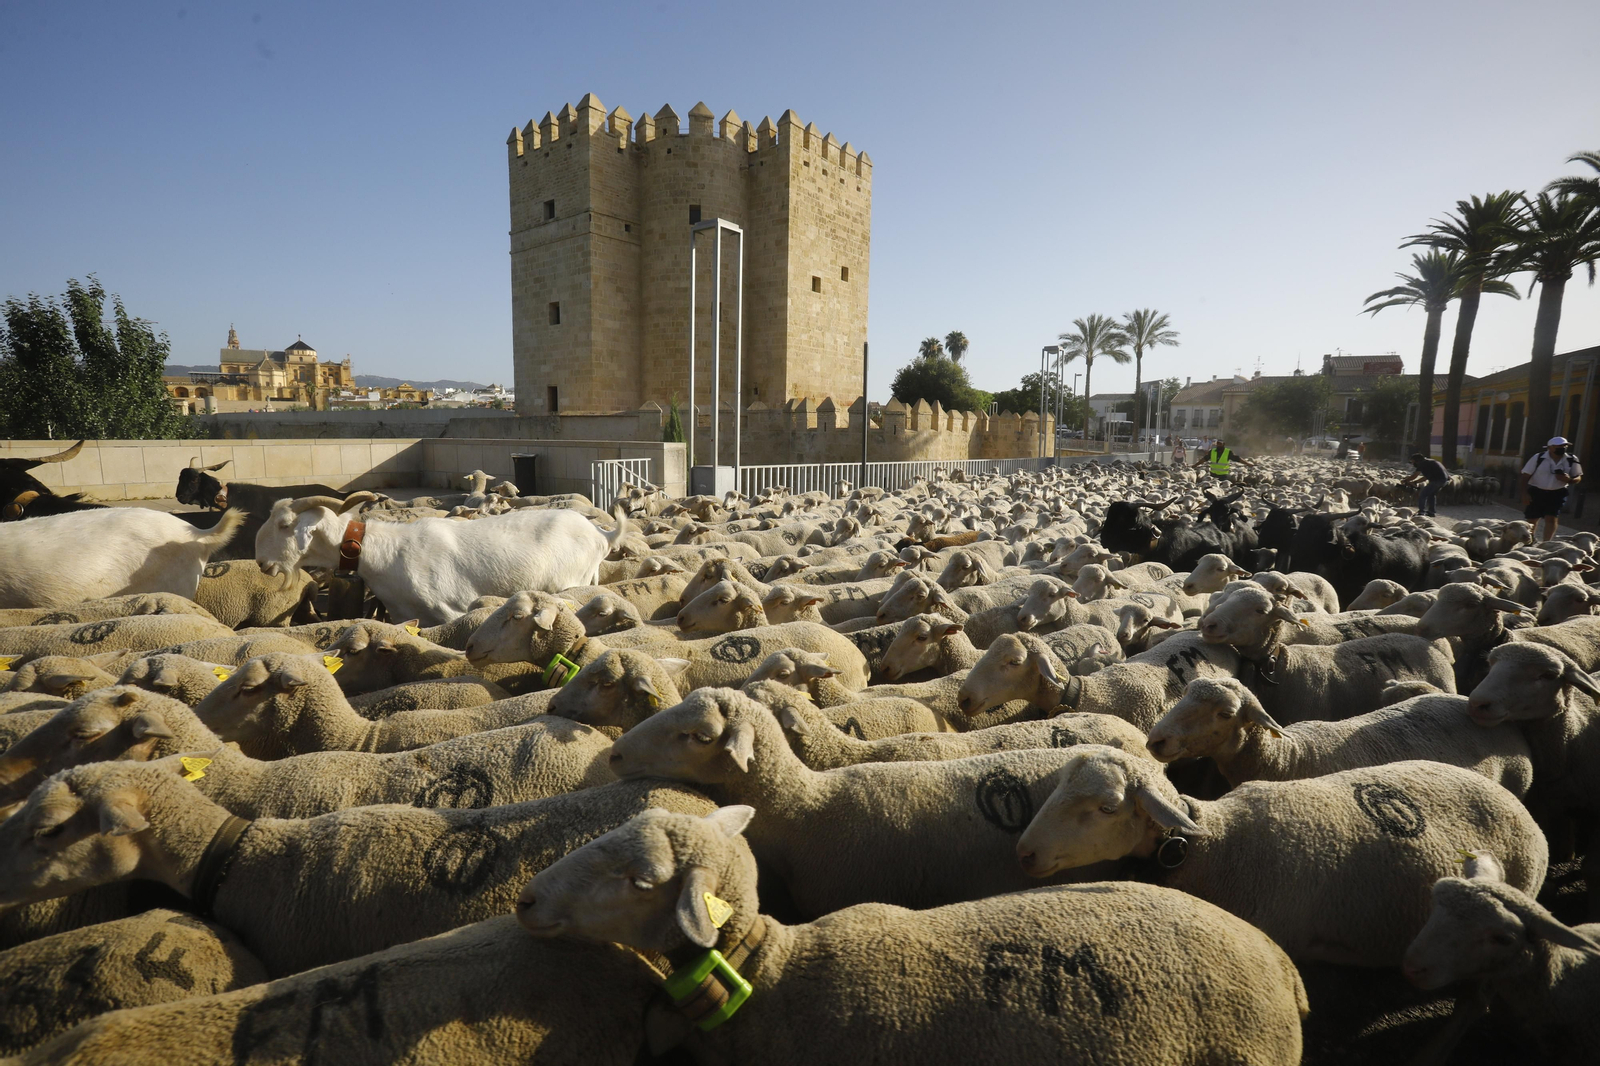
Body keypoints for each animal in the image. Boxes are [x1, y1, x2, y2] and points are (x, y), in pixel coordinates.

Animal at [255, 493, 631, 625]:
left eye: (285, 524)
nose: (260, 562)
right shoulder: (407, 616)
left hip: (572, 581)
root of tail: (602, 536)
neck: (385, 553)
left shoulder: (451, 607)